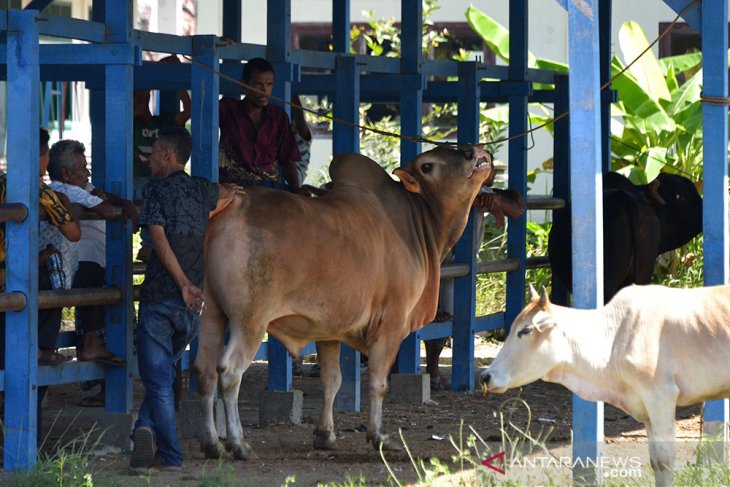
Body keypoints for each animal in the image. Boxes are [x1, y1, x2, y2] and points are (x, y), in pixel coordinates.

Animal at [193, 146, 492, 462]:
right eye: (427, 166)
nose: (473, 152)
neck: (417, 221)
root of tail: (231, 206)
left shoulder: (326, 329)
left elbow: (332, 380)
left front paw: (325, 434)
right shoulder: (391, 324)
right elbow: (378, 382)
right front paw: (379, 436)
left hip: (210, 314)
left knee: (205, 371)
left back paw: (212, 443)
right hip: (250, 320)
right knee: (229, 372)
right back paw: (238, 443)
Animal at [480, 284, 728, 486]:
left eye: (525, 330)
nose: (486, 376)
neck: (615, 337)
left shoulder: (661, 397)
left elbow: (665, 459)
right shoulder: (646, 409)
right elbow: (655, 460)